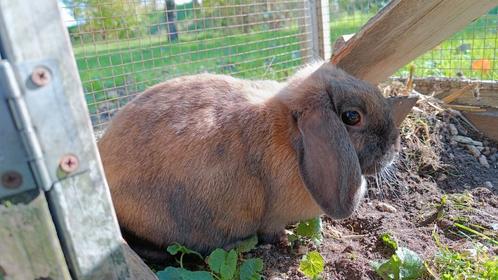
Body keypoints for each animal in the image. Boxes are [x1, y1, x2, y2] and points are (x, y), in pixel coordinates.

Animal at [99, 60, 402, 262]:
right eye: (351, 117)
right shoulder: (272, 217)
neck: (291, 134)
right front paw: (287, 240)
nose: (395, 146)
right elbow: (272, 231)